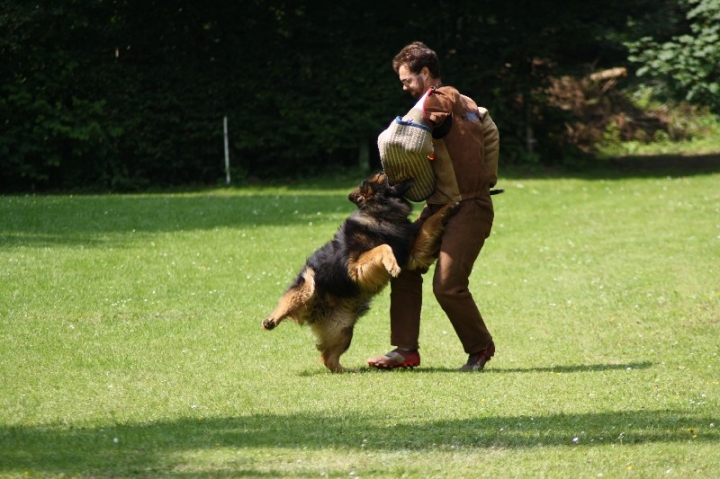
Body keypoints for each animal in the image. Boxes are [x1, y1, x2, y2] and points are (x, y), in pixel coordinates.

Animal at [262, 172, 458, 376]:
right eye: (381, 175)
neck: (380, 214)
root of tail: (318, 310)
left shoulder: (410, 253)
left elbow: (430, 222)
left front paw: (449, 206)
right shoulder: (355, 267)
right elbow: (383, 247)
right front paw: (391, 265)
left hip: (343, 331)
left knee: (327, 357)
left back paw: (347, 370)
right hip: (308, 287)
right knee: (287, 301)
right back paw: (271, 320)